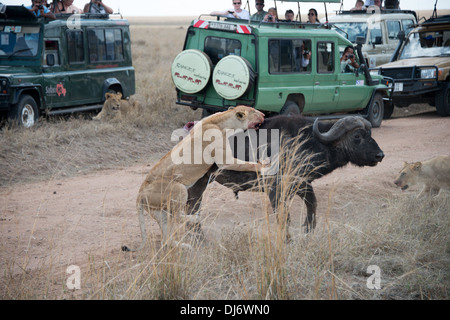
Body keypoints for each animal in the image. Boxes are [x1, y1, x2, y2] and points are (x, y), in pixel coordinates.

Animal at [121, 106, 266, 251]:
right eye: (254, 111)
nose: (264, 114)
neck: (221, 120)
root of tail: (140, 194)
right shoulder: (225, 160)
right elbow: (246, 164)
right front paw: (263, 165)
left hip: (159, 212)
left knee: (166, 238)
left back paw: (184, 245)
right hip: (178, 189)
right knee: (176, 217)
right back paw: (194, 219)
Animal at [185, 114, 384, 238]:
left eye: (370, 134)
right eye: (357, 136)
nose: (379, 155)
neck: (307, 140)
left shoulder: (302, 183)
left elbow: (312, 204)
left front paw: (308, 230)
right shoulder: (276, 190)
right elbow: (283, 217)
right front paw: (288, 240)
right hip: (198, 183)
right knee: (192, 208)